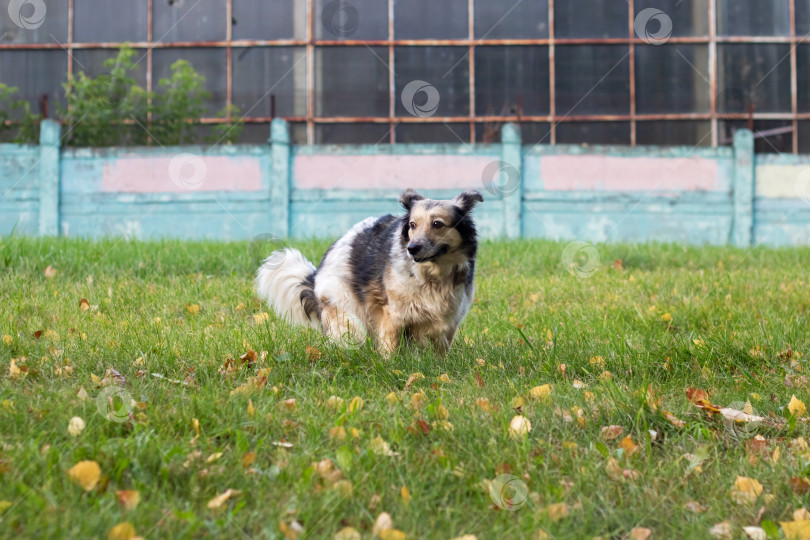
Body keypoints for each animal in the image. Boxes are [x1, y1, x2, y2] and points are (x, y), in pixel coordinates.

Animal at [256, 188, 480, 356]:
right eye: (412, 225)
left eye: (437, 224)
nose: (412, 248)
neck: (433, 276)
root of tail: (316, 275)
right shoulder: (393, 316)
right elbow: (390, 349)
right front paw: (392, 367)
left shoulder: (448, 321)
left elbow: (441, 350)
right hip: (345, 312)